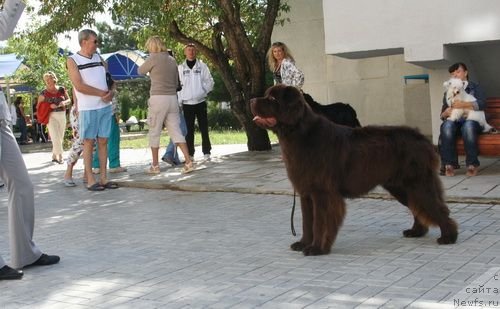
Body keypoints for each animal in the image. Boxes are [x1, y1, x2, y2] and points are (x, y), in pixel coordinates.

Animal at [250, 84, 458, 255]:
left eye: (273, 99)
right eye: (266, 95)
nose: (251, 100)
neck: (298, 134)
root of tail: (422, 139)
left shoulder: (322, 192)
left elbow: (319, 222)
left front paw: (316, 248)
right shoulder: (306, 193)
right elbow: (307, 222)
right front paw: (303, 243)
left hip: (417, 183)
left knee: (438, 208)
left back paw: (449, 237)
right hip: (401, 186)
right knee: (418, 207)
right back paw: (416, 231)